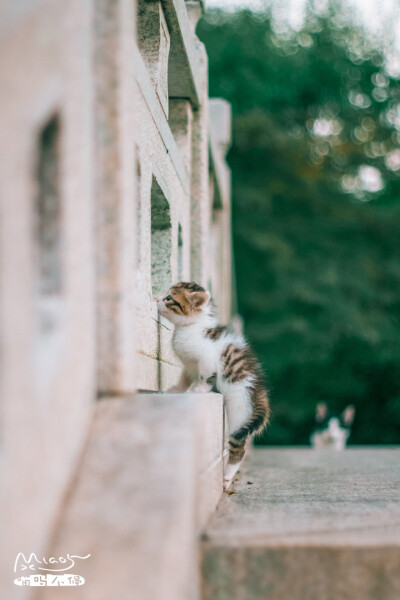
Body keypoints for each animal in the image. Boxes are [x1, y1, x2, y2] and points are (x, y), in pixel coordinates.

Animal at [155, 282, 268, 488]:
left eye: (169, 298)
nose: (156, 299)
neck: (191, 327)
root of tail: (261, 395)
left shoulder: (207, 359)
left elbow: (204, 376)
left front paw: (199, 389)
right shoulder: (190, 365)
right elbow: (185, 377)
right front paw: (178, 389)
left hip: (240, 410)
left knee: (238, 446)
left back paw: (227, 476)